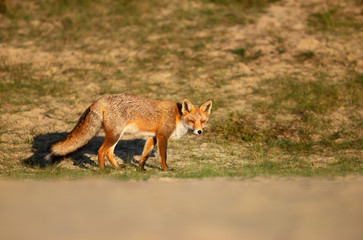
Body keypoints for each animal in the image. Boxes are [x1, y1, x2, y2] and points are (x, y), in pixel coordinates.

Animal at [47, 92, 215, 171]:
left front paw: (141, 170)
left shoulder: (152, 137)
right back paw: (103, 171)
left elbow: (144, 156)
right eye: (192, 121)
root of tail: (101, 99)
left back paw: (117, 168)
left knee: (109, 152)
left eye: (202, 121)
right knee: (101, 151)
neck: (177, 116)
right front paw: (166, 170)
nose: (199, 131)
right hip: (114, 135)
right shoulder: (162, 136)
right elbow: (163, 157)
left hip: (117, 135)